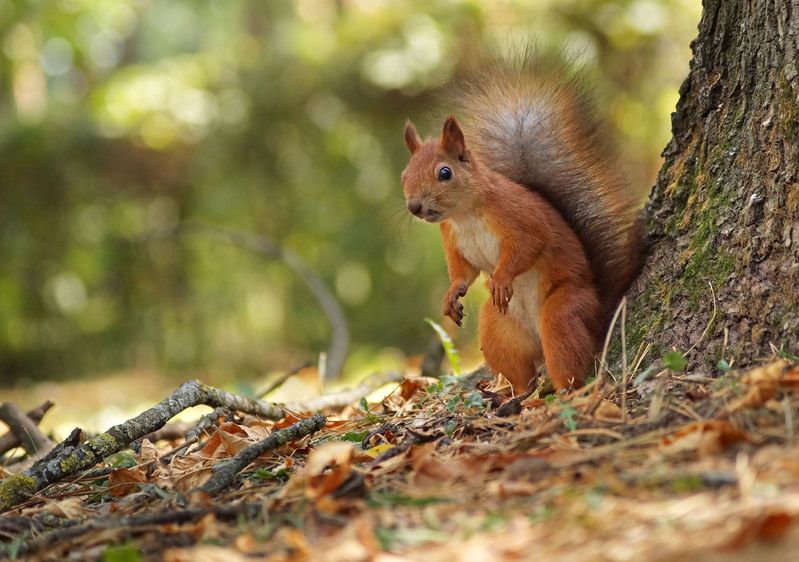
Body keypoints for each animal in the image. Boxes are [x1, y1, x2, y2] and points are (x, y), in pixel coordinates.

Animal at [400, 53, 644, 394]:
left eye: (445, 172)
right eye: (404, 175)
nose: (415, 206)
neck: (465, 215)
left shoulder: (518, 214)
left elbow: (529, 245)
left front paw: (501, 278)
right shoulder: (451, 237)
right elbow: (465, 271)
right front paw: (451, 295)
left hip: (565, 310)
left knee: (566, 353)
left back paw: (564, 392)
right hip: (498, 329)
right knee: (517, 368)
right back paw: (517, 394)